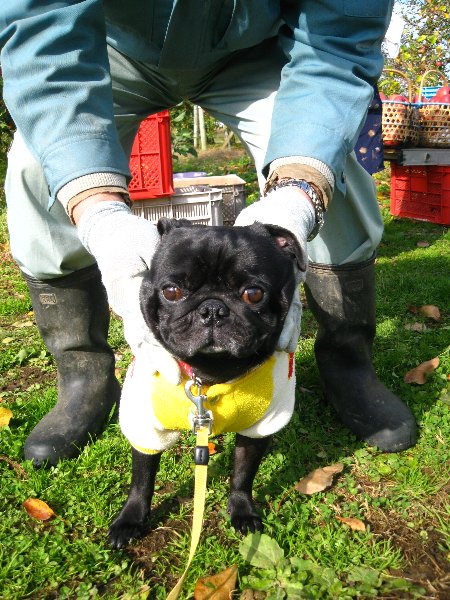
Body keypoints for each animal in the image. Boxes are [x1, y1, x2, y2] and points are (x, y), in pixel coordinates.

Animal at [108, 217, 305, 548]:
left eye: (254, 294)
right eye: (172, 291)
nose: (212, 309)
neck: (210, 374)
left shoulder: (260, 426)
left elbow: (243, 473)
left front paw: (242, 510)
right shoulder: (146, 428)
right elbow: (142, 479)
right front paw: (130, 519)